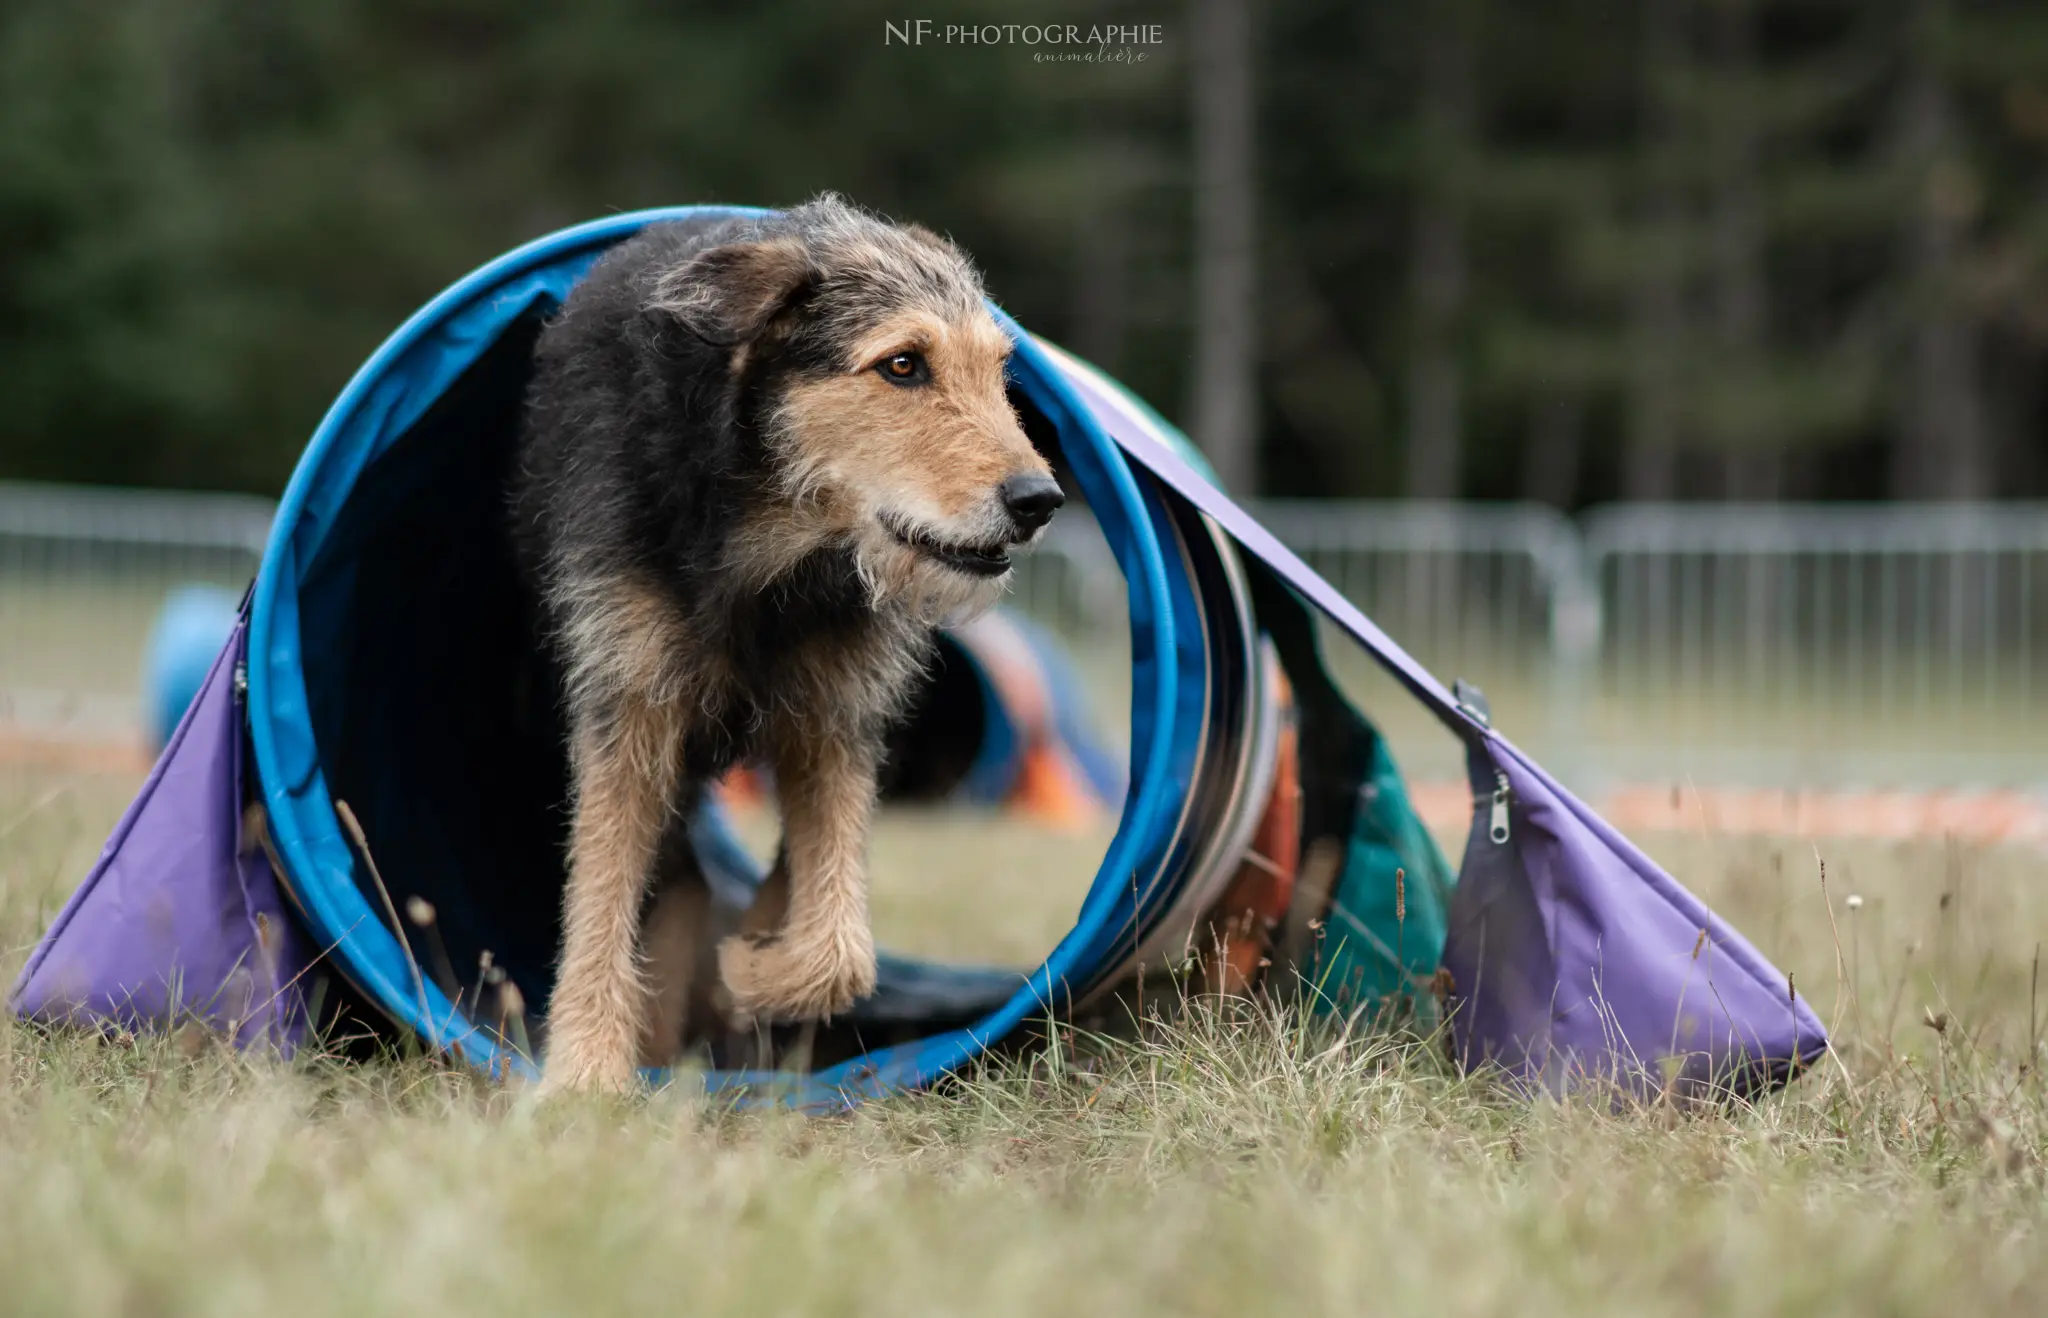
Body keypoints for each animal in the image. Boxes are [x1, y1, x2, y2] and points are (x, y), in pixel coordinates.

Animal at [512, 188, 1064, 1088]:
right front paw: (586, 1073)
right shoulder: (628, 709)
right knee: (681, 875)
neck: (770, 541)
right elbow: (600, 896)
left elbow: (840, 939)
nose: (1039, 500)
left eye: (998, 371)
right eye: (903, 364)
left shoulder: (836, 717)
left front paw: (749, 969)